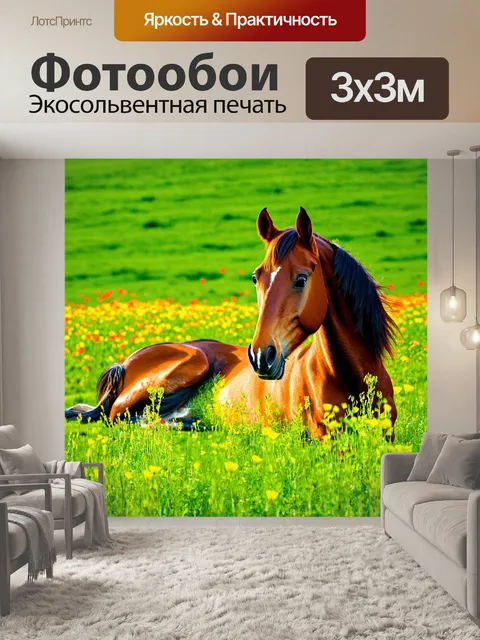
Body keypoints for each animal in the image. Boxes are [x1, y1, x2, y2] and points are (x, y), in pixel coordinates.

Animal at [66, 207, 398, 439]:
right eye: (255, 278)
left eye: (302, 279)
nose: (261, 356)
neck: (351, 378)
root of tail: (126, 361)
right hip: (189, 365)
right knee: (118, 417)